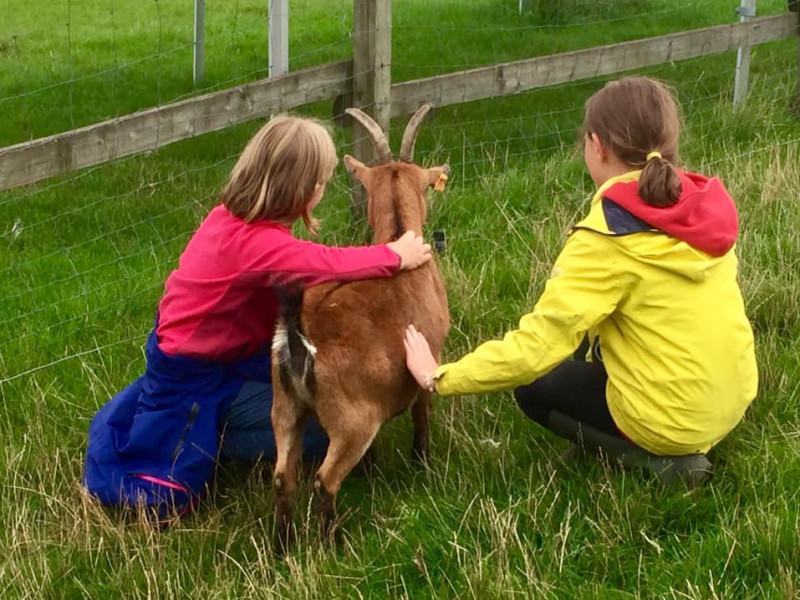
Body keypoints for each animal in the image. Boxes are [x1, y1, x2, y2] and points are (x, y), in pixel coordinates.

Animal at [272, 103, 450, 552]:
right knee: (324, 481)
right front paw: (423, 465)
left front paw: (373, 471)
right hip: (352, 420)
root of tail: (299, 335)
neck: (399, 235)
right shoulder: (428, 359)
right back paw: (334, 542)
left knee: (283, 477)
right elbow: (421, 418)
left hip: (285, 407)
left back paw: (282, 548)